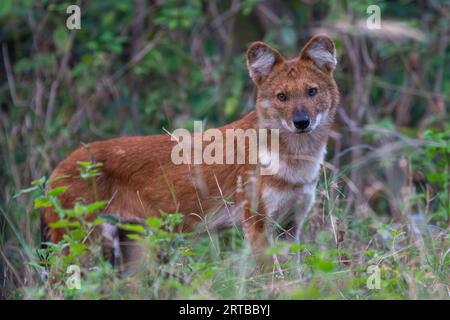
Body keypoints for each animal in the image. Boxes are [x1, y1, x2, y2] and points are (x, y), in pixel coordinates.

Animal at [42, 34, 340, 270]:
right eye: (282, 97)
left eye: (312, 92)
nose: (301, 121)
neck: (297, 162)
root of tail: (55, 169)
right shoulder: (256, 224)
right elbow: (271, 277)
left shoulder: (291, 226)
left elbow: (295, 277)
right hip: (78, 245)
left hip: (127, 248)